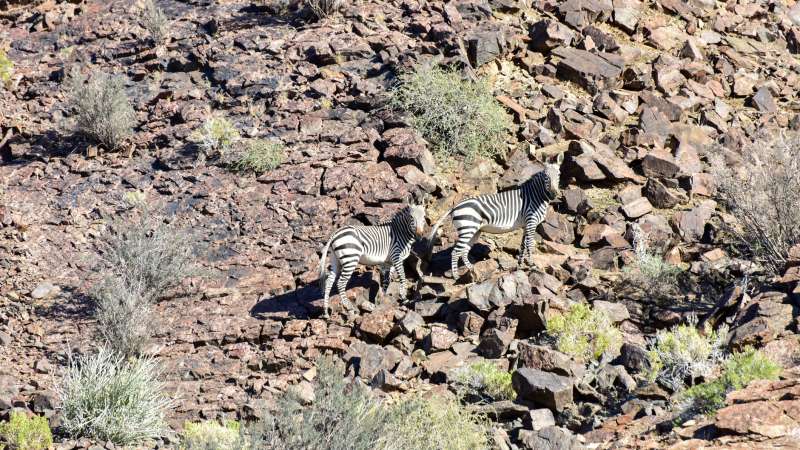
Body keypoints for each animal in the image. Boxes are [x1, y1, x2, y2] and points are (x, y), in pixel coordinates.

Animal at [427, 153, 564, 277]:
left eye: (558, 175)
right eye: (546, 176)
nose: (553, 194)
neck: (535, 196)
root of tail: (454, 207)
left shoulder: (526, 225)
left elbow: (523, 245)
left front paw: (519, 265)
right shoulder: (531, 221)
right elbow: (530, 244)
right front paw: (532, 265)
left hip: (474, 231)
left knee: (464, 251)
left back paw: (472, 270)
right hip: (467, 228)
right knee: (456, 251)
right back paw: (456, 275)